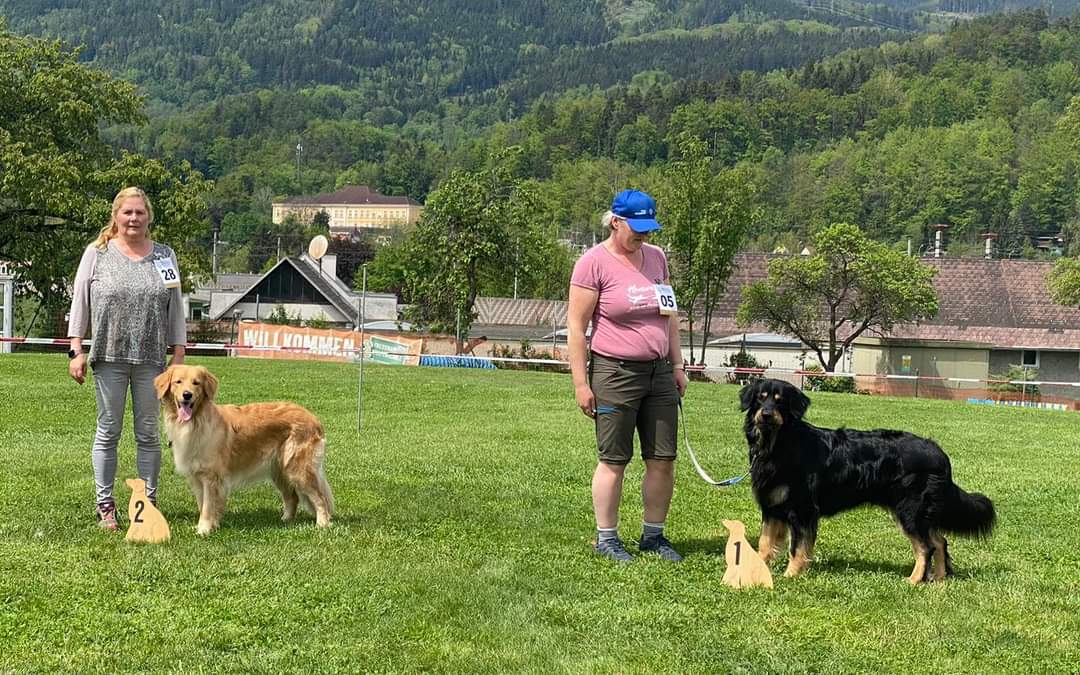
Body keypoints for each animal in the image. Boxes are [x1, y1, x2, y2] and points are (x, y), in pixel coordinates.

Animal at [743, 375, 993, 583]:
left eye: (780, 401)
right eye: (760, 398)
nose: (765, 414)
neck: (779, 444)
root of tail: (938, 452)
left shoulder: (802, 510)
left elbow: (797, 547)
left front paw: (791, 575)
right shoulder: (772, 507)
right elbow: (764, 543)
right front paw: (756, 570)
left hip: (909, 510)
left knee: (926, 547)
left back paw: (914, 580)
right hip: (920, 512)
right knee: (940, 541)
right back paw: (939, 579)